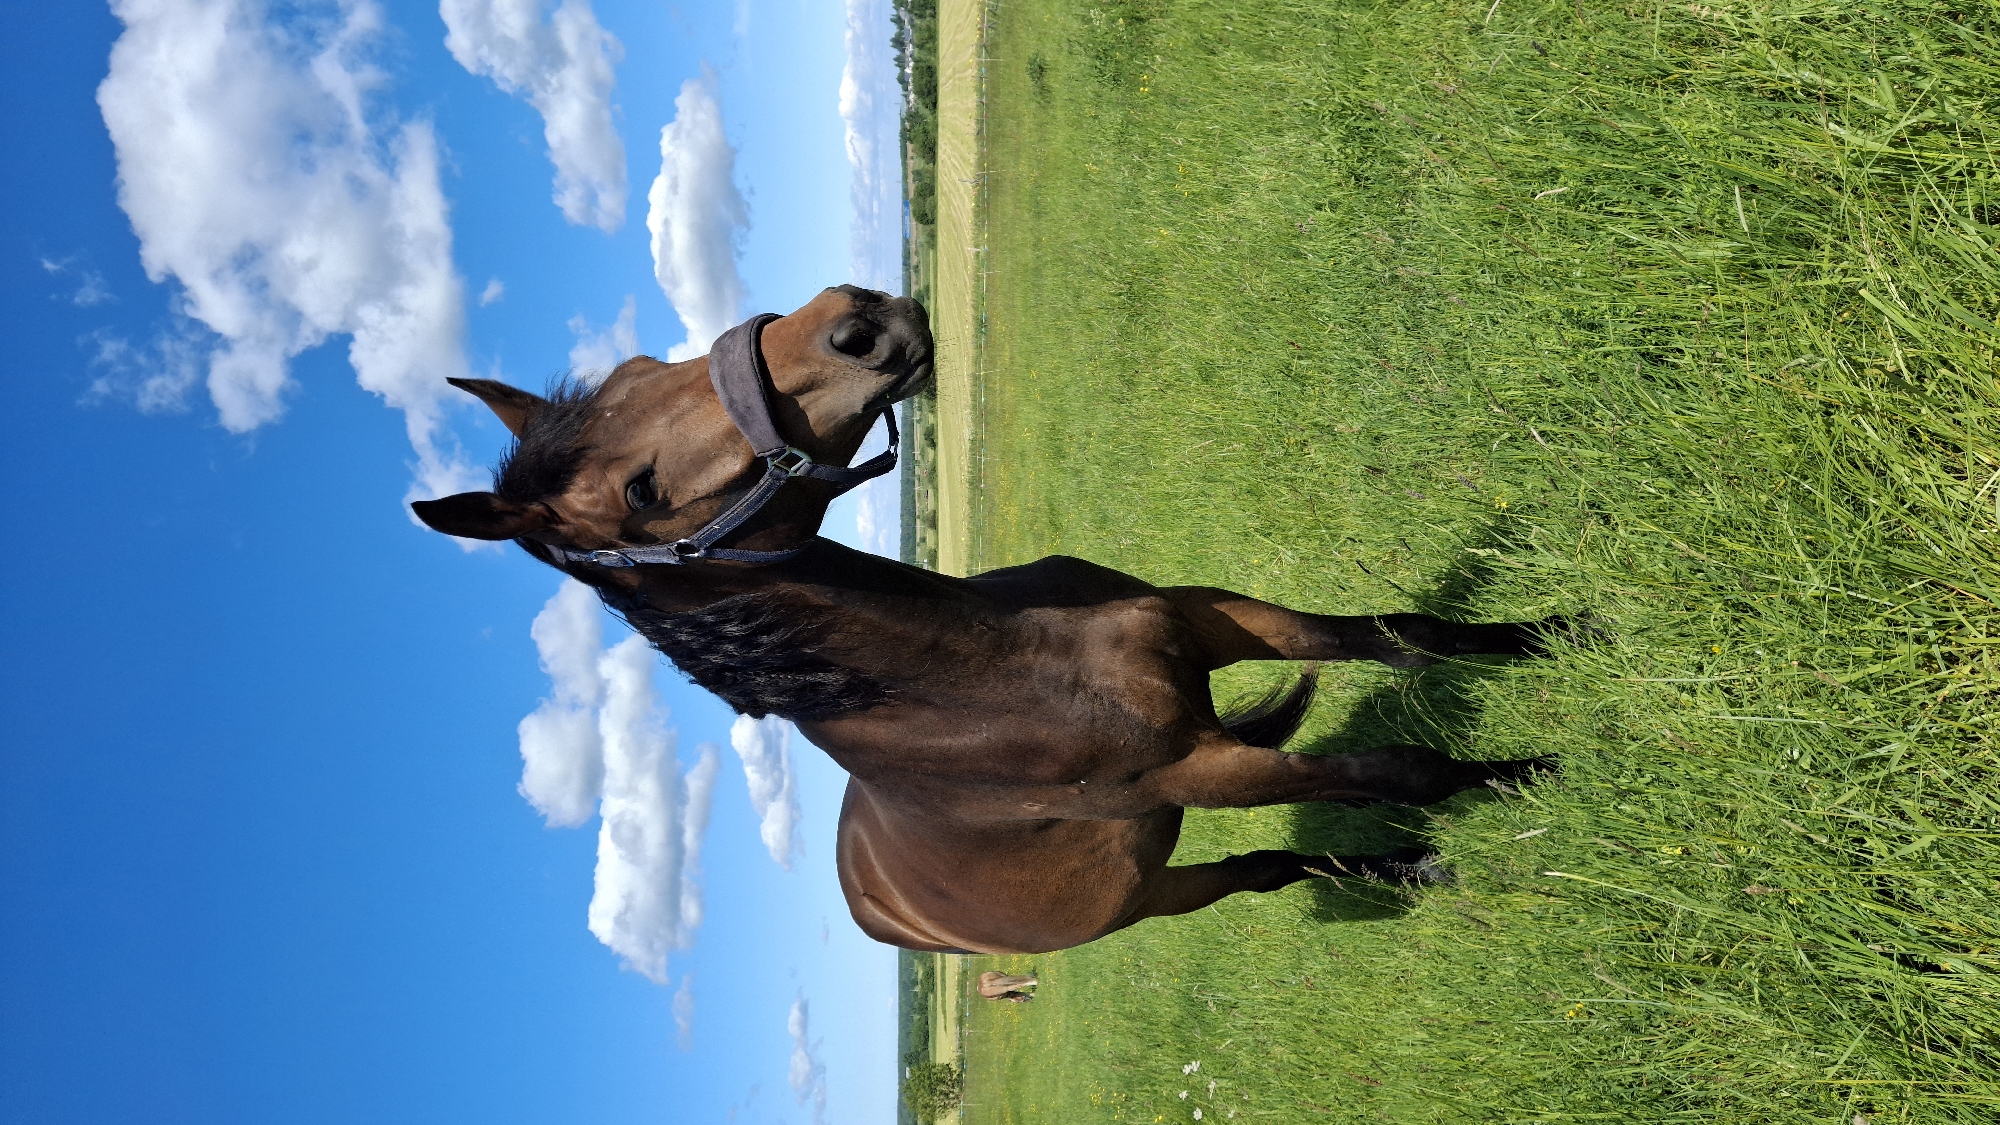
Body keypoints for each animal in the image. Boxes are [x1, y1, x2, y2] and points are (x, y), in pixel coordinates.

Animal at [413, 284, 1565, 955]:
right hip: (1152, 890)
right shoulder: (1198, 769)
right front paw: (1533, 777)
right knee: (1264, 870)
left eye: (646, 368)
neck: (998, 669)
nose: (857, 320)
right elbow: (1397, 770)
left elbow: (1396, 634)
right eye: (641, 492)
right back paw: (1409, 868)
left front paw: (1556, 637)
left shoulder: (1209, 619)